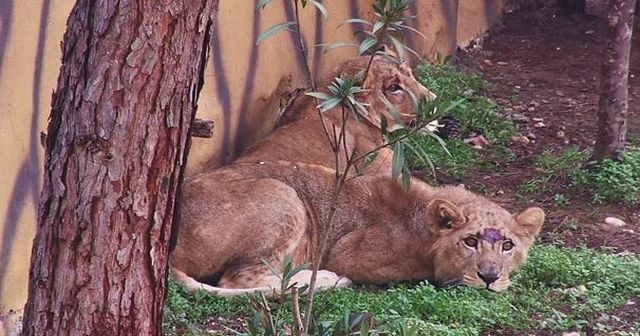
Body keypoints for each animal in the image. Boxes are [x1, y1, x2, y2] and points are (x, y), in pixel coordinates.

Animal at [170, 161, 544, 296]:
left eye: (508, 246)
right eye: (470, 241)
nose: (490, 276)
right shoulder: (349, 253)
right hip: (283, 194)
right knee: (238, 280)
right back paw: (323, 279)